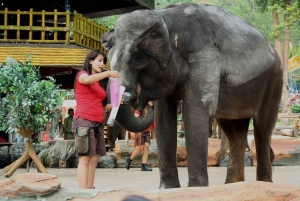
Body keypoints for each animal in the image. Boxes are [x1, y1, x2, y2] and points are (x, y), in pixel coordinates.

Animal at [101, 3, 284, 188]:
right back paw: (233, 185)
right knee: (234, 131)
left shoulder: (203, 57)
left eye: (137, 59)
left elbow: (195, 111)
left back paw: (263, 184)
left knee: (262, 129)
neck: (164, 17)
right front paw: (168, 189)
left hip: (275, 80)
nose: (141, 105)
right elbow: (163, 118)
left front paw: (197, 188)